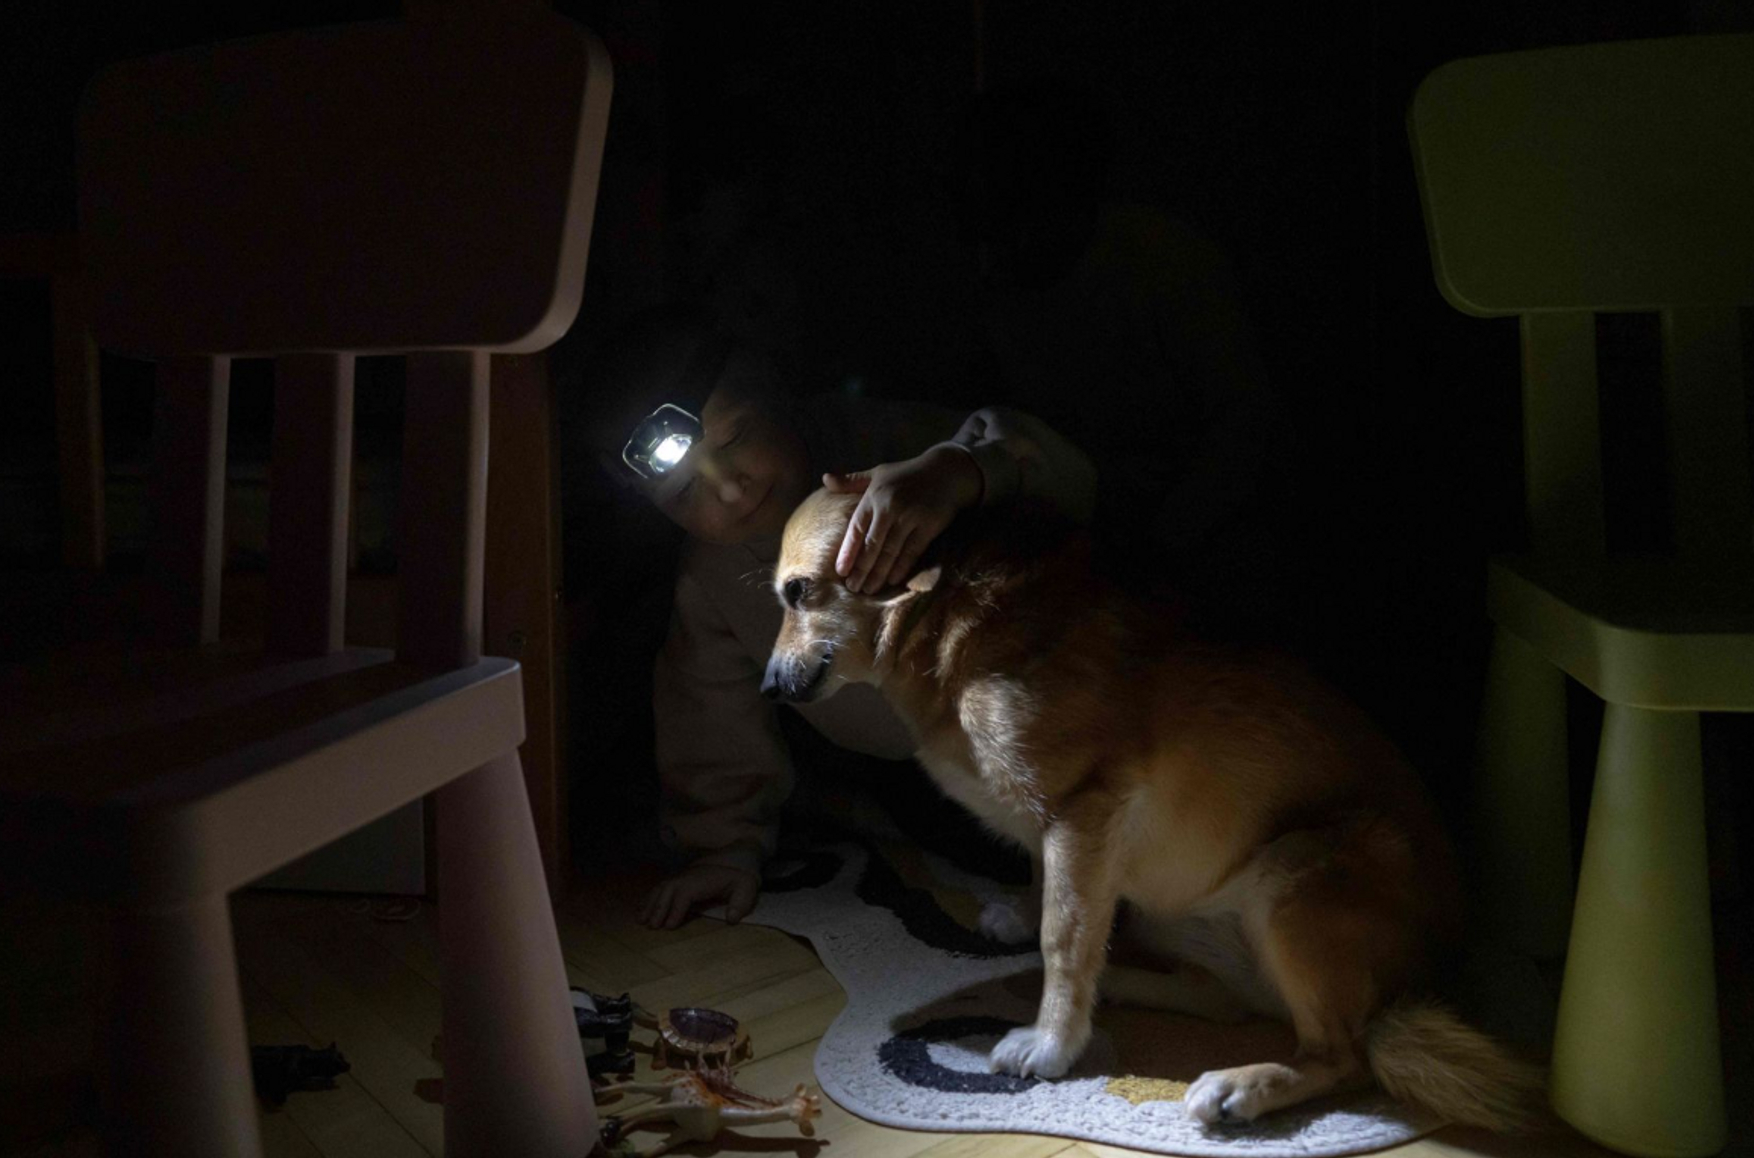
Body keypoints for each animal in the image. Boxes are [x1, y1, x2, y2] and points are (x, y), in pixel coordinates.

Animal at [762, 489, 1541, 1129]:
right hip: (1172, 914)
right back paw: (1121, 986)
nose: (766, 688)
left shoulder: (1081, 813)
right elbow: (1049, 899)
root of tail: (1428, 981)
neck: (946, 616)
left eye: (799, 592)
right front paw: (1027, 928)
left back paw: (1241, 1085)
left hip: (1293, 873)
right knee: (1224, 999)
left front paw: (1052, 1044)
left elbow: (1064, 939)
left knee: (1343, 1055)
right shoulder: (1059, 827)